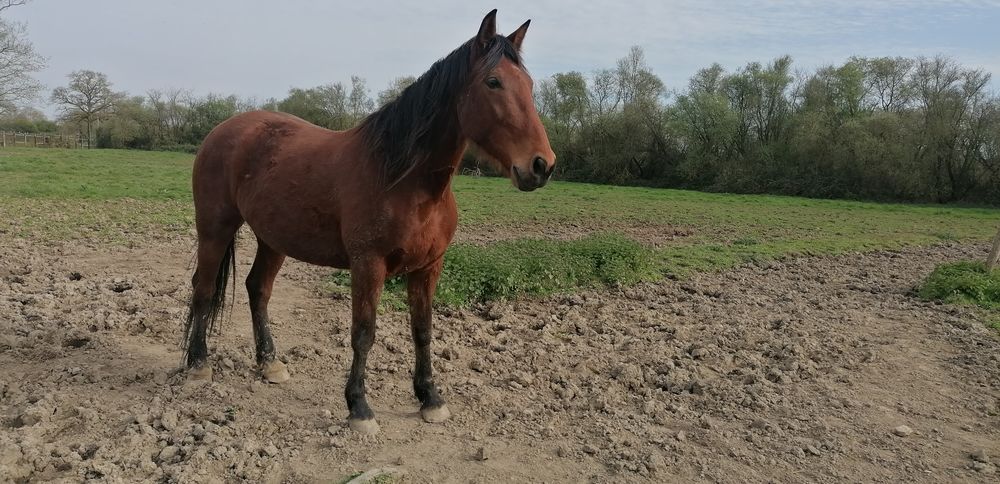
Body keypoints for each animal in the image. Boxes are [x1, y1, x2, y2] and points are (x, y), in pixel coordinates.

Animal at [182, 9, 555, 434]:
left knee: (258, 289)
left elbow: (423, 329)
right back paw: (198, 365)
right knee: (203, 288)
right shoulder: (368, 265)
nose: (541, 165)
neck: (404, 180)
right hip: (215, 228)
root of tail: (225, 129)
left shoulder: (429, 267)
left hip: (273, 239)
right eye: (493, 82)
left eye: (529, 84)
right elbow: (363, 333)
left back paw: (270, 363)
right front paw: (359, 407)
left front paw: (430, 398)